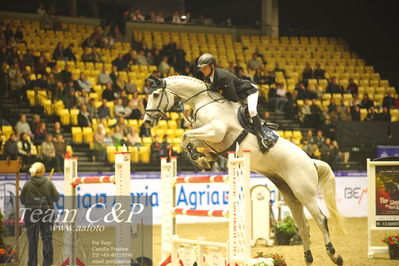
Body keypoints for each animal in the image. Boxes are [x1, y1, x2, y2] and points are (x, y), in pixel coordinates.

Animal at [144, 75, 346, 266]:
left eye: (155, 95)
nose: (147, 121)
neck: (203, 101)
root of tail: (311, 162)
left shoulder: (216, 132)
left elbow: (186, 136)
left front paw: (200, 157)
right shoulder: (210, 138)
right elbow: (188, 140)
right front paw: (204, 158)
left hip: (305, 192)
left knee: (321, 219)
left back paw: (334, 255)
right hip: (290, 194)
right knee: (303, 225)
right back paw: (308, 258)